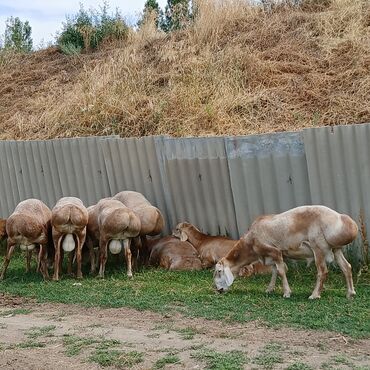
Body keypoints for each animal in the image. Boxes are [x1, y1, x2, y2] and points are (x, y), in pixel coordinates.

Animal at [214, 207, 358, 300]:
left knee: (323, 272)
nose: (217, 289)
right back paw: (350, 293)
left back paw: (314, 295)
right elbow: (274, 272)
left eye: (219, 271)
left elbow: (281, 271)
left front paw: (287, 293)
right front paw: (269, 289)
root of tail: (342, 220)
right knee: (346, 267)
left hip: (318, 247)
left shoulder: (275, 251)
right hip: (336, 248)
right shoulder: (270, 256)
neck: (250, 242)